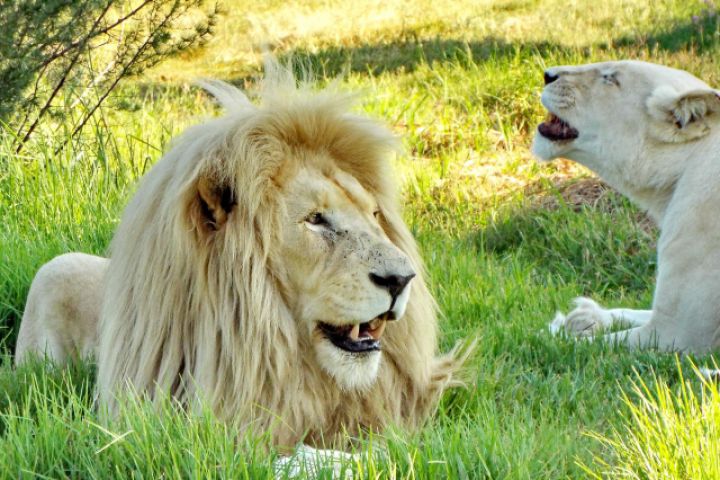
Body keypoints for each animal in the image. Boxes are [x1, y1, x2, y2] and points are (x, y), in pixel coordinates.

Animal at [532, 60, 720, 353]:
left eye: (610, 78)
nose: (547, 75)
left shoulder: (680, 333)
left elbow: (587, 345)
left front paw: (556, 330)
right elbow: (632, 310)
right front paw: (583, 317)